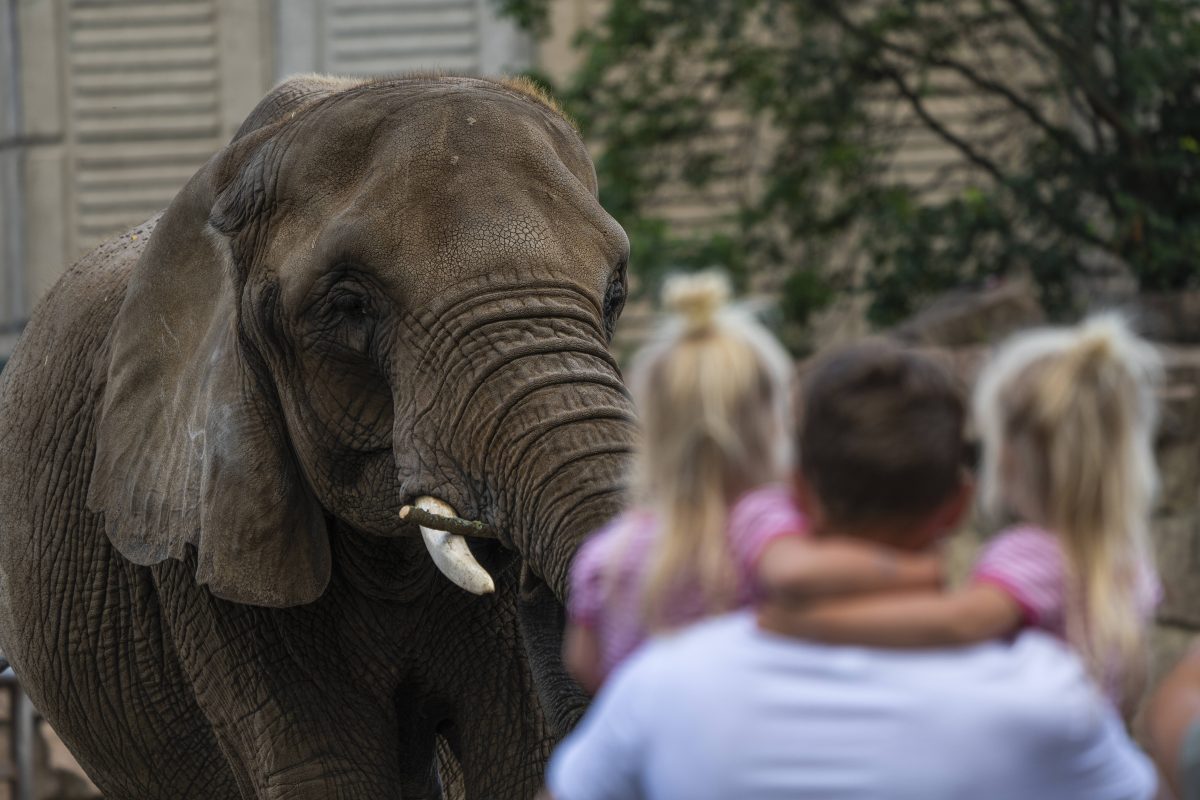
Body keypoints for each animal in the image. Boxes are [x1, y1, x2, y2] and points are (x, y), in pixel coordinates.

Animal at [0, 74, 638, 800]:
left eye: (615, 293)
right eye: (348, 305)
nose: (542, 585)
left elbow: (525, 758)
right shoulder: (208, 541)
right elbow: (327, 770)